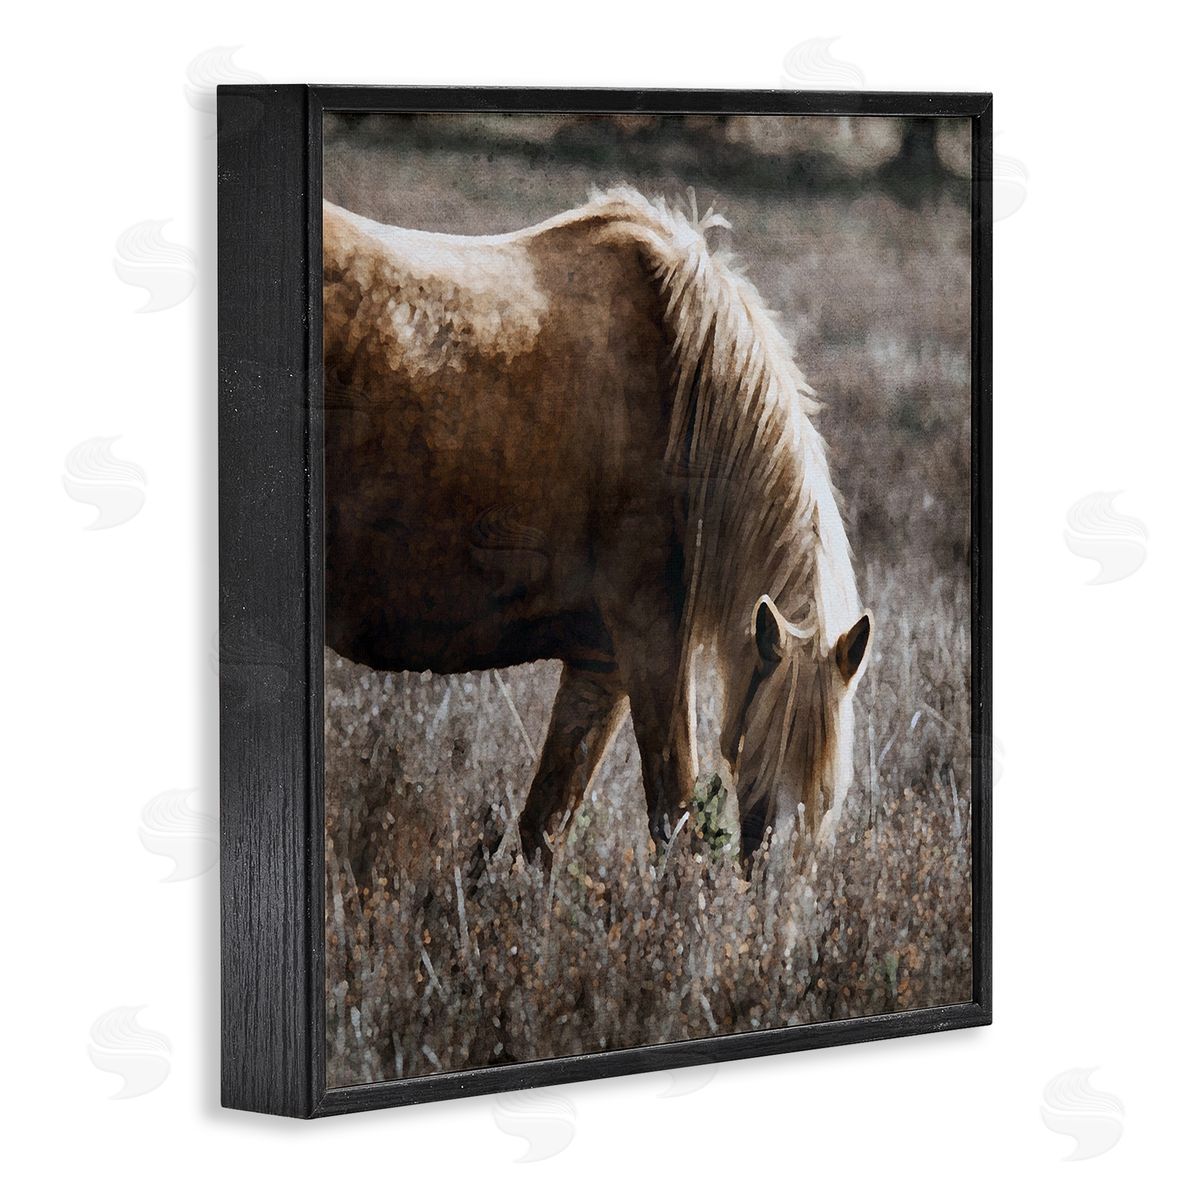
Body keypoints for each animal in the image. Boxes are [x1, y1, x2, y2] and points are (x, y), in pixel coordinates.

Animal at [322, 186, 873, 868]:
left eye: (826, 804)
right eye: (766, 789)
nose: (783, 896)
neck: (681, 389)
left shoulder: (599, 666)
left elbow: (545, 826)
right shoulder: (651, 647)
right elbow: (675, 817)